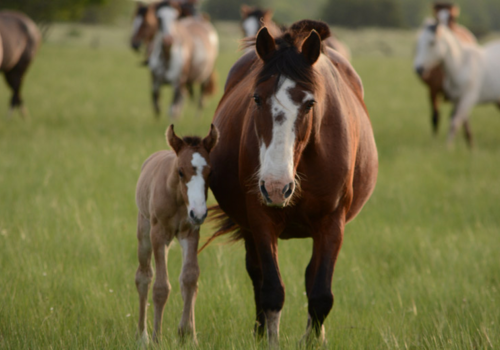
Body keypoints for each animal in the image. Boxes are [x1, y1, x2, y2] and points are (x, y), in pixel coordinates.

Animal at [135, 123, 219, 344]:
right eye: (181, 171)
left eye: (210, 172)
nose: (199, 213)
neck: (178, 198)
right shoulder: (158, 235)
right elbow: (160, 287)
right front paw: (156, 338)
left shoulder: (190, 233)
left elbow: (189, 278)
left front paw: (187, 334)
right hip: (144, 233)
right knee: (143, 277)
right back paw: (142, 336)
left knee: (185, 281)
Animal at [201, 19, 376, 348]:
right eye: (256, 98)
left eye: (309, 104)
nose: (275, 186)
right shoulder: (260, 218)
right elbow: (271, 290)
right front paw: (268, 338)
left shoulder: (332, 223)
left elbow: (320, 294)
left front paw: (313, 340)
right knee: (257, 274)